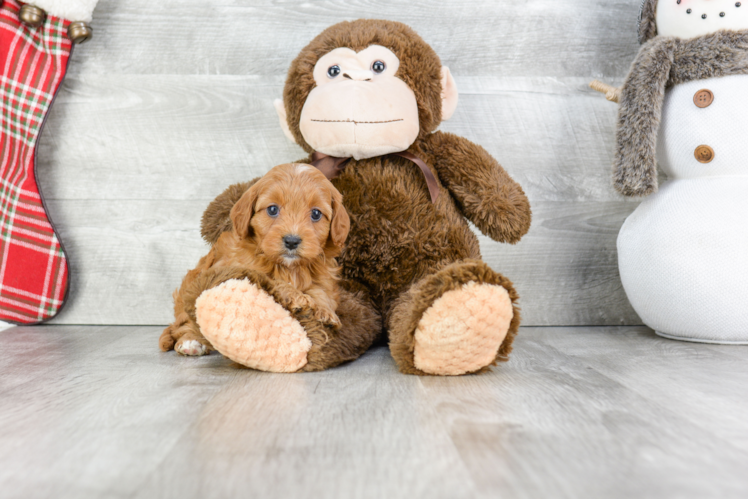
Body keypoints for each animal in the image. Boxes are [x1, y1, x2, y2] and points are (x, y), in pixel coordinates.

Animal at [159, 163, 350, 356]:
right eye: (272, 209)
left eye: (316, 214)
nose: (291, 241)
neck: (289, 267)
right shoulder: (239, 269)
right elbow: (271, 280)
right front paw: (297, 297)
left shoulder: (324, 274)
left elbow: (321, 291)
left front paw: (325, 312)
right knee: (185, 323)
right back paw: (191, 342)